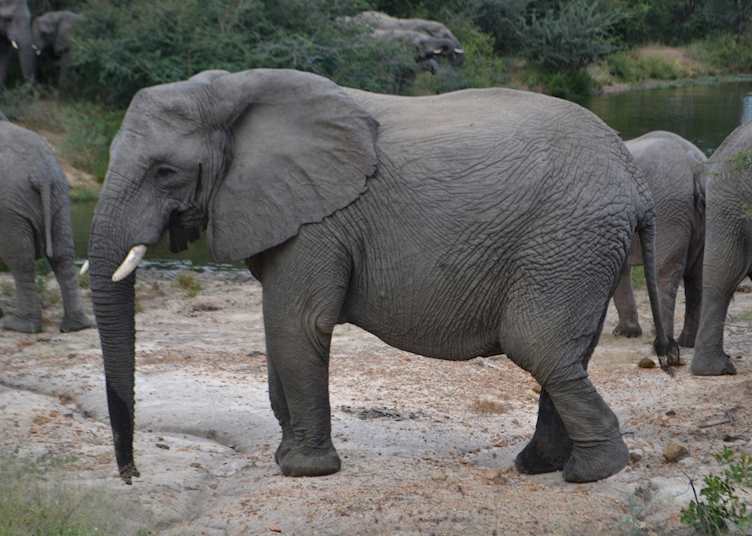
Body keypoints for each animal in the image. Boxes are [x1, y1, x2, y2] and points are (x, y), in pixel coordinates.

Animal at [0, 115, 93, 333]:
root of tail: (40, 172)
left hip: (10, 204)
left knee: (20, 258)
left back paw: (18, 326)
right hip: (60, 193)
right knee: (62, 253)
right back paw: (76, 326)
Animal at [88, 68, 678, 486]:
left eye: (165, 172)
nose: (131, 475)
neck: (231, 91)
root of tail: (635, 181)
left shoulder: (319, 221)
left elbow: (297, 323)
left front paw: (303, 471)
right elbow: (278, 329)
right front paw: (287, 458)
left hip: (567, 239)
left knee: (538, 345)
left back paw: (590, 473)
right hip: (580, 249)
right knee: (567, 354)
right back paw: (539, 466)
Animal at [612, 131, 707, 347]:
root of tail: (694, 165)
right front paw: (627, 333)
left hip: (668, 212)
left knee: (665, 272)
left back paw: (664, 340)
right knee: (697, 275)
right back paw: (687, 342)